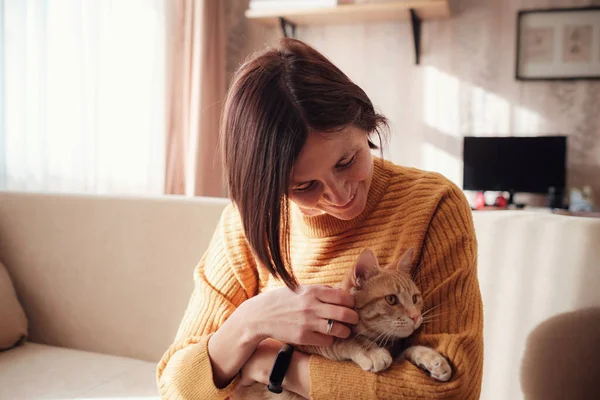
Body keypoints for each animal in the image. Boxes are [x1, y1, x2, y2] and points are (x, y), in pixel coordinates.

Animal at [234, 248, 450, 398]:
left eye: (415, 298)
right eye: (391, 299)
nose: (416, 316)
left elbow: (406, 352)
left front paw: (431, 358)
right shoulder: (299, 340)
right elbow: (344, 340)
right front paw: (370, 351)